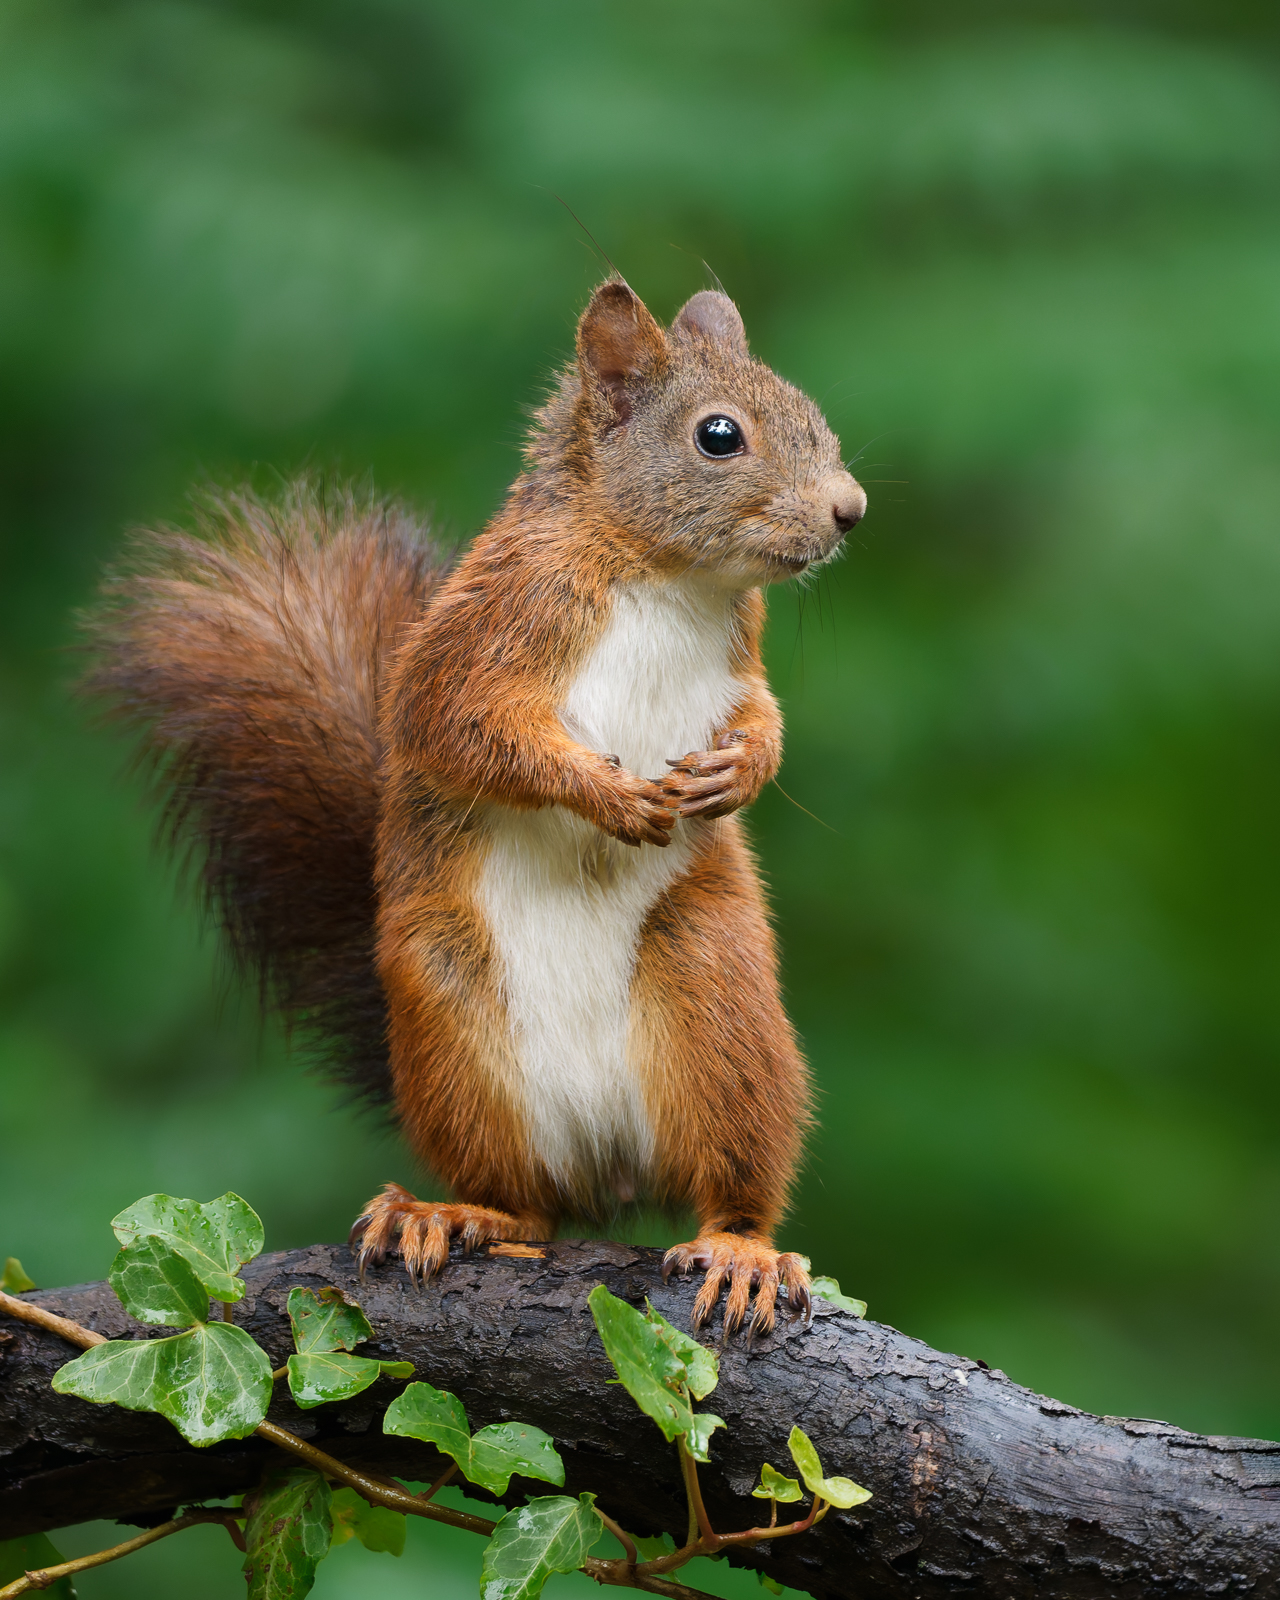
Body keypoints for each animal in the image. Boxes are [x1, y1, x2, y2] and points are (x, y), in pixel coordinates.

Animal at [86, 280, 866, 1335]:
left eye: (814, 417)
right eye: (719, 436)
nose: (849, 510)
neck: (669, 577)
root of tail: (609, 1172)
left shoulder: (739, 660)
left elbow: (760, 715)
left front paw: (742, 769)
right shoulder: (483, 632)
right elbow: (463, 730)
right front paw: (607, 793)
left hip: (717, 1000)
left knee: (729, 1184)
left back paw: (741, 1250)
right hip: (452, 1013)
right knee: (524, 1204)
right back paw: (454, 1214)